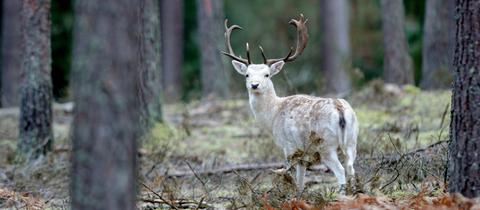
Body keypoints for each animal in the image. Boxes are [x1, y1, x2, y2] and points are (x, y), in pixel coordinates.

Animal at [221, 14, 356, 195]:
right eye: (247, 74)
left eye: (267, 74)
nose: (254, 85)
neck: (273, 117)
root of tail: (340, 110)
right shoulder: (302, 152)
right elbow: (301, 180)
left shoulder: (289, 146)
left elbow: (294, 177)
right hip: (352, 141)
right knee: (351, 167)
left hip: (326, 145)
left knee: (341, 170)